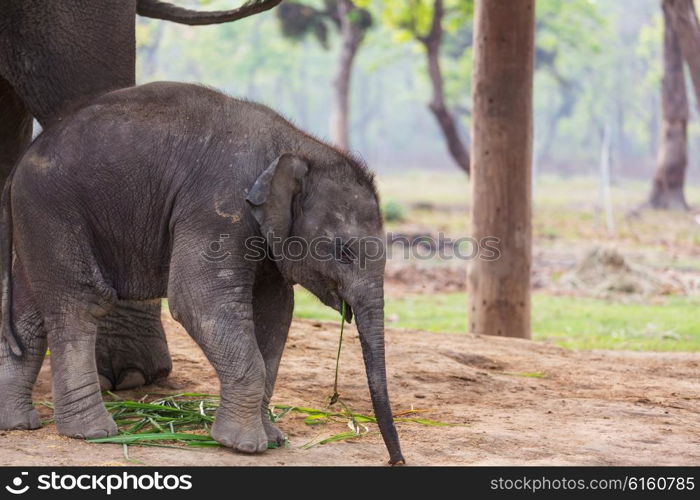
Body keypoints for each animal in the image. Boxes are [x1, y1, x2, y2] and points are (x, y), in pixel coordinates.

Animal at [0, 81, 404, 464]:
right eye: (344, 251)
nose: (395, 460)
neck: (298, 147)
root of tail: (19, 164)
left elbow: (275, 312)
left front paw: (272, 439)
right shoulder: (218, 206)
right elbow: (199, 301)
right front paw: (243, 446)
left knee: (29, 313)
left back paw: (18, 423)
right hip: (53, 210)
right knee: (81, 302)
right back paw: (92, 433)